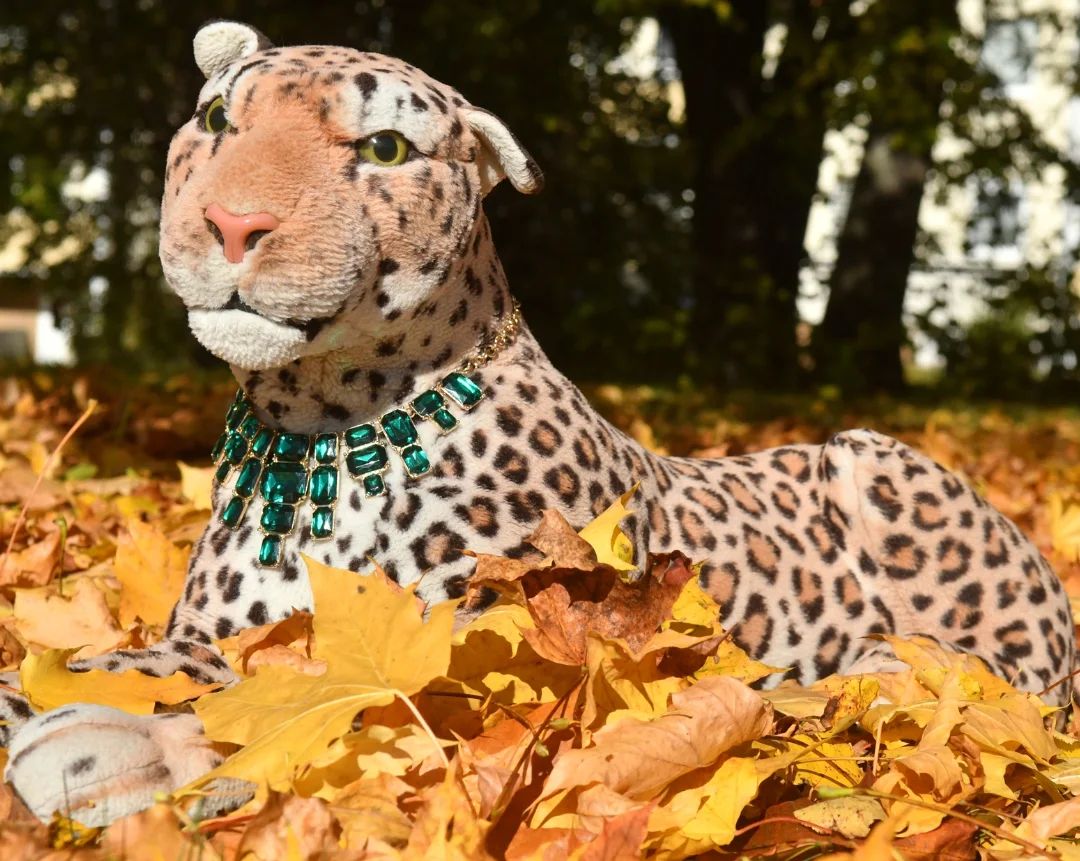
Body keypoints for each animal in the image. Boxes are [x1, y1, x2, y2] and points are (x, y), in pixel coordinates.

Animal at [2, 19, 1073, 828]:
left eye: (385, 149)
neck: (313, 429)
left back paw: (876, 667)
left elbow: (351, 706)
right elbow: (116, 657)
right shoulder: (216, 628)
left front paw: (118, 745)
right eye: (218, 119)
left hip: (882, 470)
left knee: (979, 682)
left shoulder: (506, 664)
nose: (230, 223)